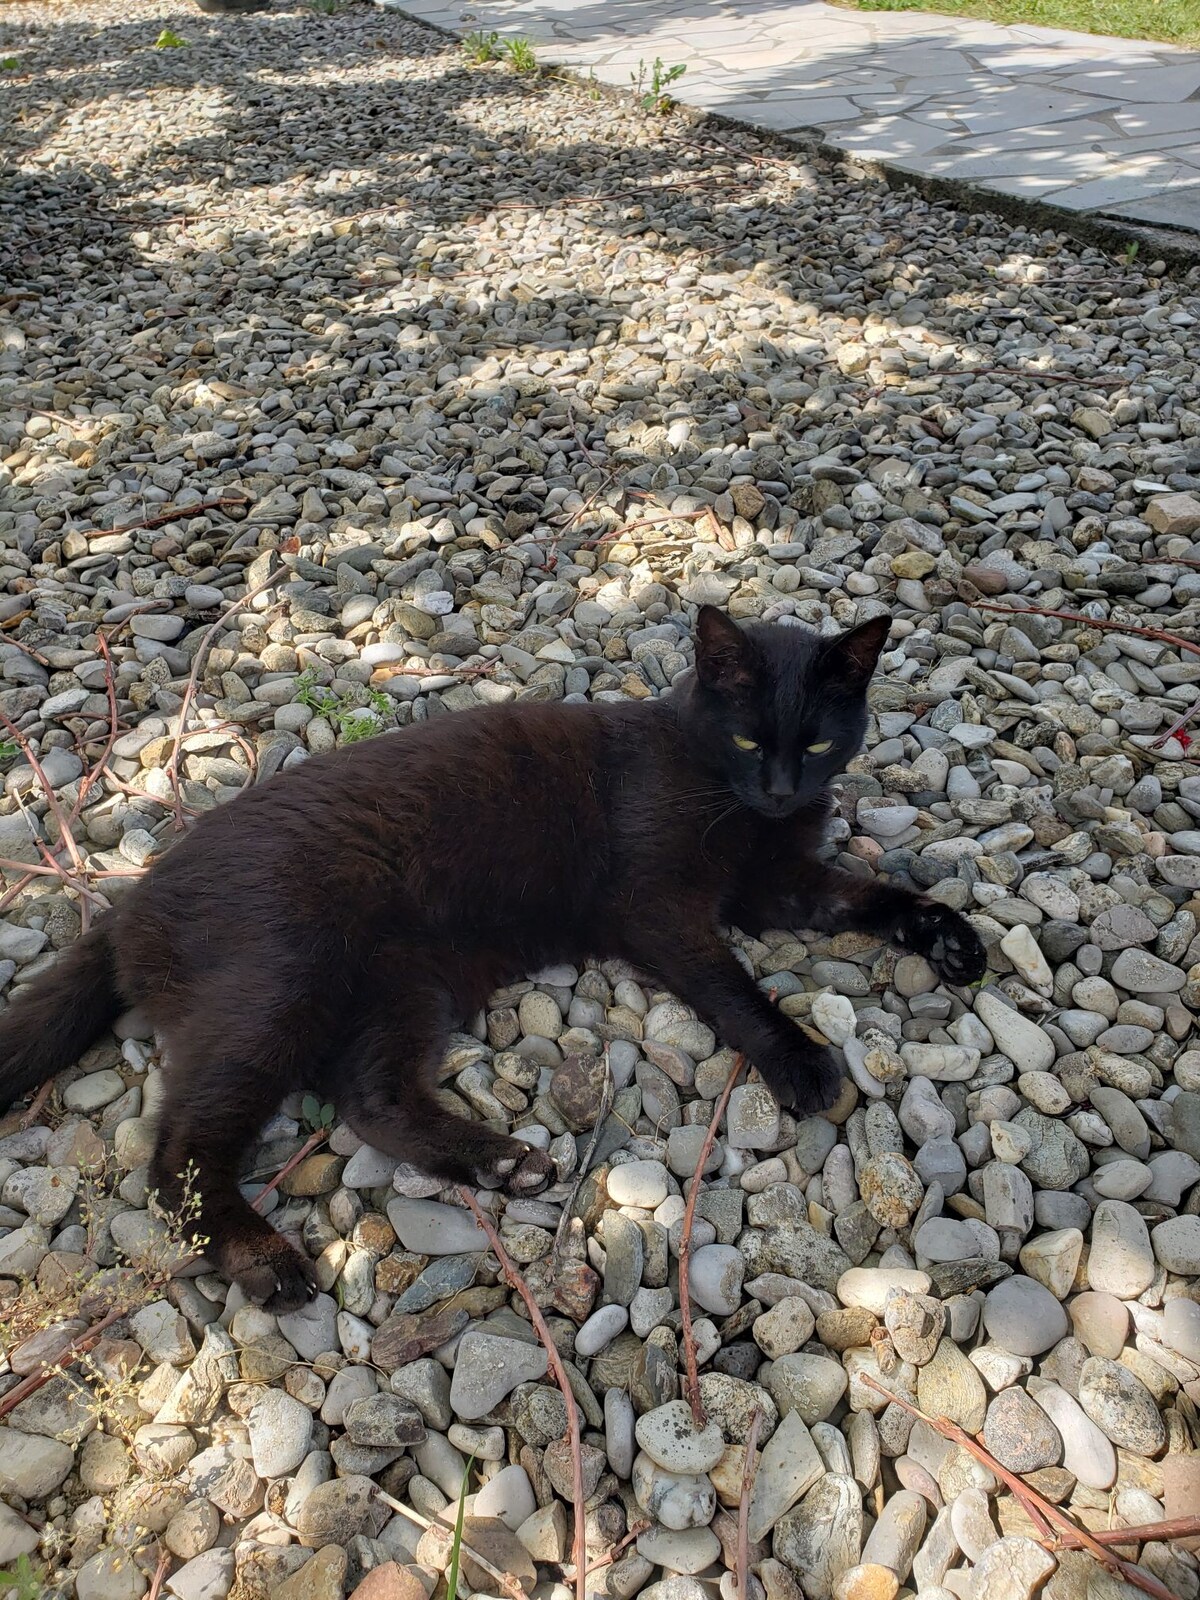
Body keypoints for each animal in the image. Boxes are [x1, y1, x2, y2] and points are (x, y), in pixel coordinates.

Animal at [0, 604, 985, 1305]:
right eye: (747, 738)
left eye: (816, 742)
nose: (781, 789)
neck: (735, 805)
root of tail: (129, 901)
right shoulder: (662, 909)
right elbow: (734, 988)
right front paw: (802, 1061)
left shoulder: (776, 886)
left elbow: (869, 894)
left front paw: (949, 936)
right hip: (278, 986)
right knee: (178, 1156)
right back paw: (263, 1260)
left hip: (407, 986)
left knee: (370, 1099)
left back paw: (500, 1162)